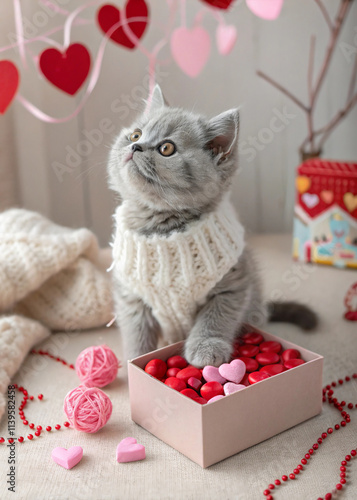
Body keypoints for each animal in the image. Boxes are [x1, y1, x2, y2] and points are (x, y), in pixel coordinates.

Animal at [107, 85, 316, 368]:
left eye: (166, 148)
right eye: (135, 134)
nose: (136, 146)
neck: (162, 226)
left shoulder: (233, 282)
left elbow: (215, 317)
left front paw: (206, 348)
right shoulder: (130, 294)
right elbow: (135, 329)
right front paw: (135, 359)